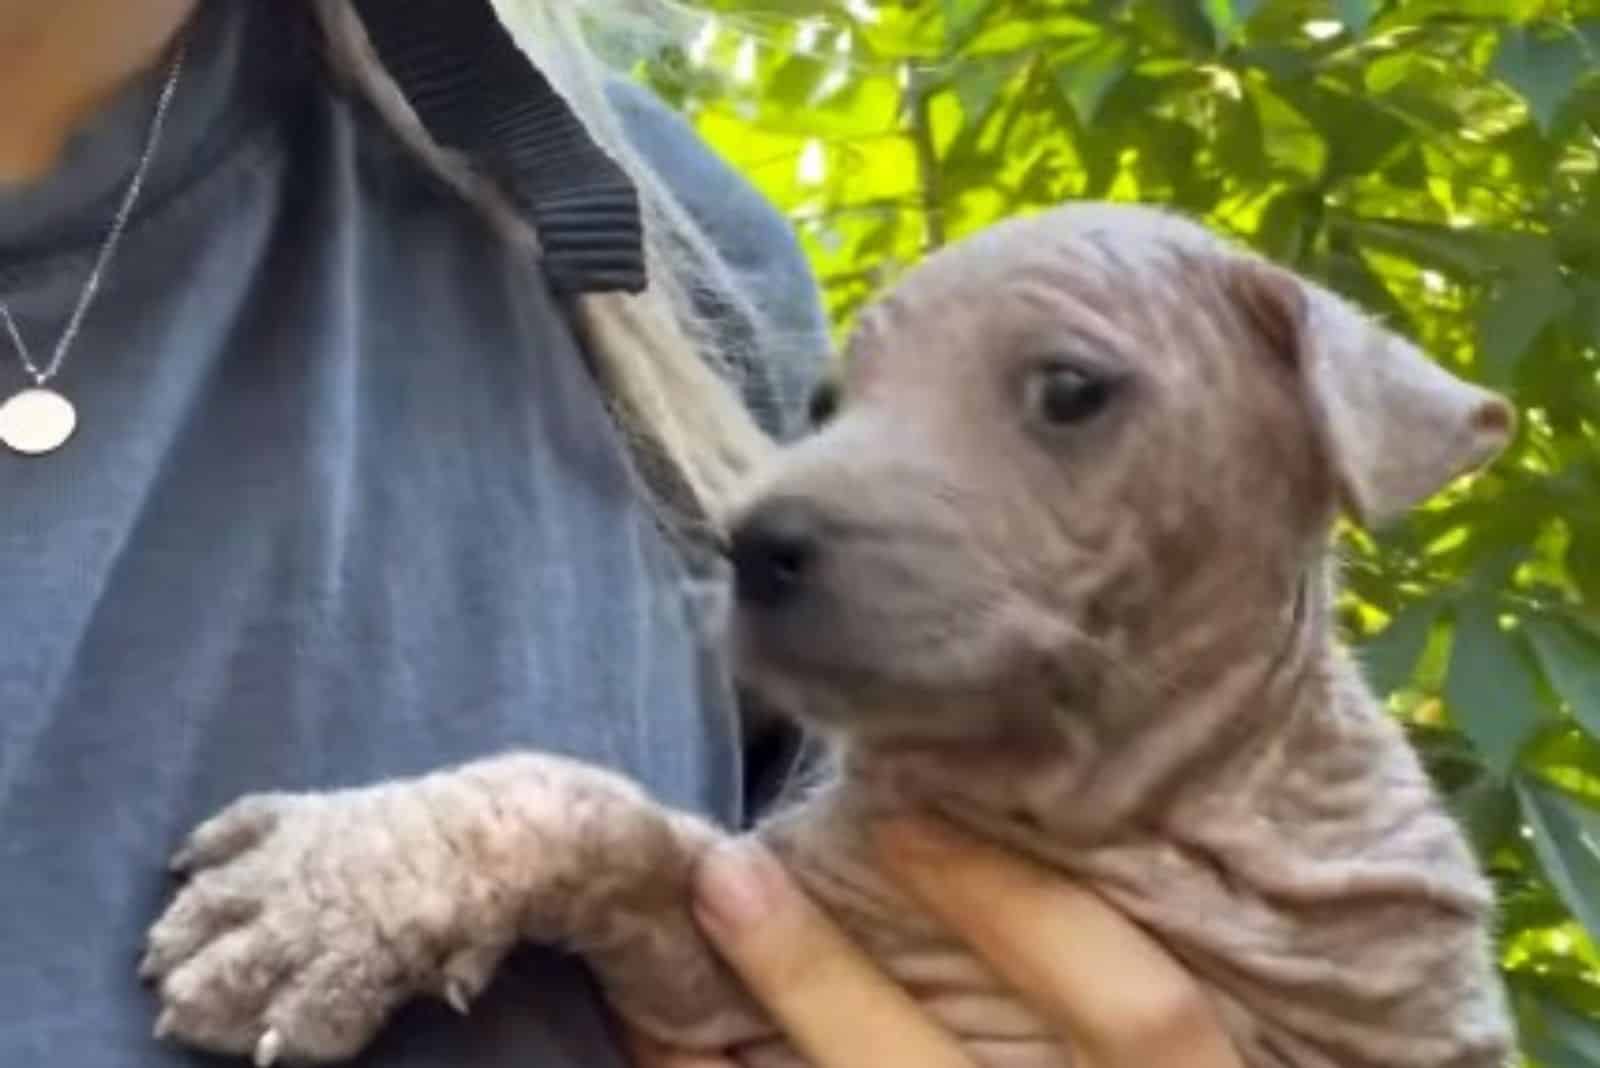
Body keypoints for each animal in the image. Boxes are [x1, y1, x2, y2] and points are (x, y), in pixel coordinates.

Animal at [144, 202, 1516, 1068]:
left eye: (1069, 390)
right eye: (823, 406)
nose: (752, 545)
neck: (1102, 818)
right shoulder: (721, 972)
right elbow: (592, 807)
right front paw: (335, 887)